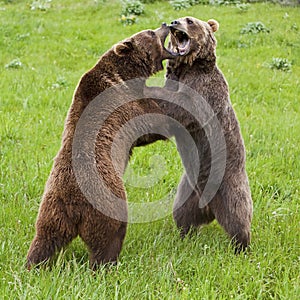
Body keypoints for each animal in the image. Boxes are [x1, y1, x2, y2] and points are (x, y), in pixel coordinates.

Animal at [26, 23, 176, 270]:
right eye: (150, 33)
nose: (165, 25)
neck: (128, 72)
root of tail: (73, 205)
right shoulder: (126, 102)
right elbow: (152, 123)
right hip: (107, 208)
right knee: (109, 240)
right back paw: (108, 265)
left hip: (51, 213)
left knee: (44, 240)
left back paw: (32, 265)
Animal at [144, 15, 252, 251]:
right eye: (178, 18)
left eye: (190, 21)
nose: (174, 23)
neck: (187, 68)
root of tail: (209, 206)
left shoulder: (204, 91)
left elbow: (180, 107)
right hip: (188, 191)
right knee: (182, 213)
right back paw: (185, 235)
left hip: (229, 183)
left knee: (238, 214)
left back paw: (242, 245)